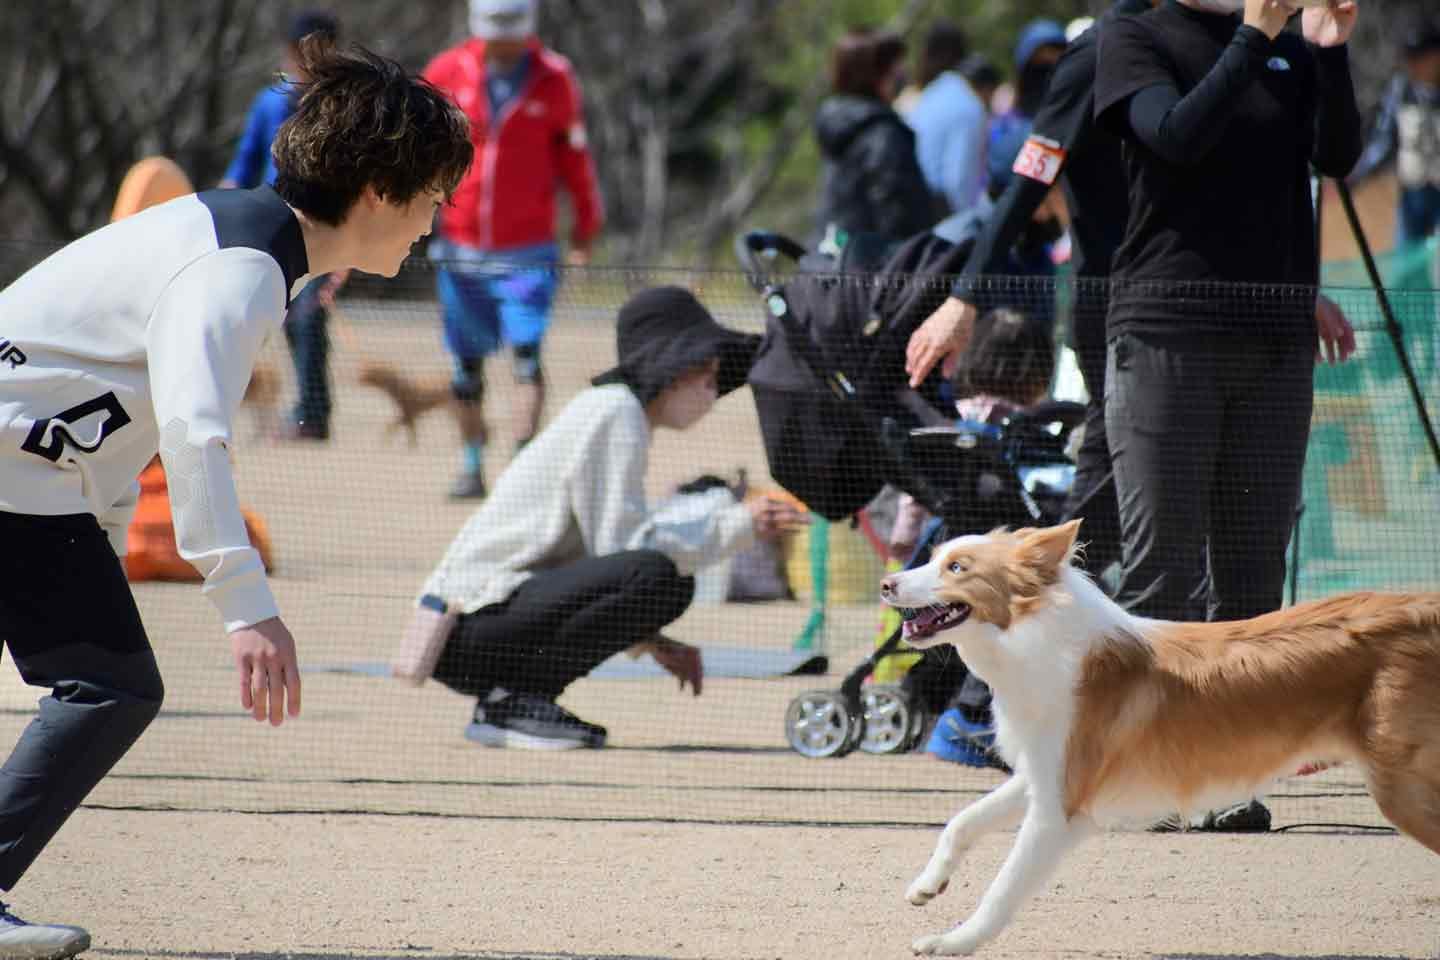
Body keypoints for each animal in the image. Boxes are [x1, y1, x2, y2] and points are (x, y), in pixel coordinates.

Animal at [875, 521, 1440, 955]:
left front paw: (952, 942)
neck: (1035, 638)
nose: (885, 584)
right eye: (935, 558)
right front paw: (928, 885)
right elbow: (962, 821)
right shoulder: (1047, 773)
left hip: (1402, 791)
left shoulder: (1059, 810)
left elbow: (1002, 889)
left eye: (958, 568)